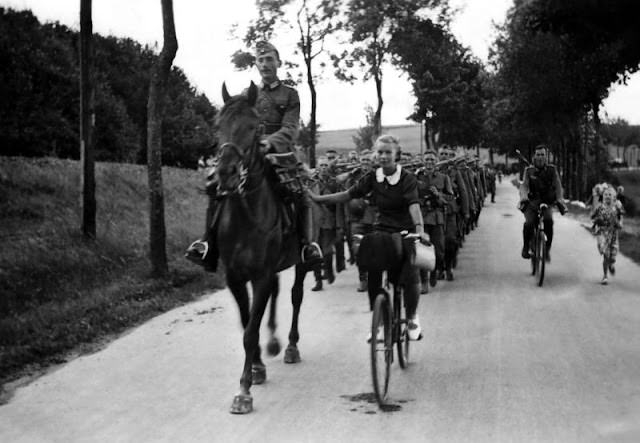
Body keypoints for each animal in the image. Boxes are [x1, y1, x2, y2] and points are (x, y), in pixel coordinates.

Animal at [215, 81, 312, 414]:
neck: (247, 216)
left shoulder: (261, 274)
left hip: (301, 262)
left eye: (254, 126)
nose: (226, 173)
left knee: (295, 296)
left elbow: (250, 331)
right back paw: (273, 343)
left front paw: (243, 391)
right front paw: (256, 367)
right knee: (276, 294)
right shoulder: (235, 278)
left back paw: (291, 346)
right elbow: (248, 324)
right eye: (218, 125)